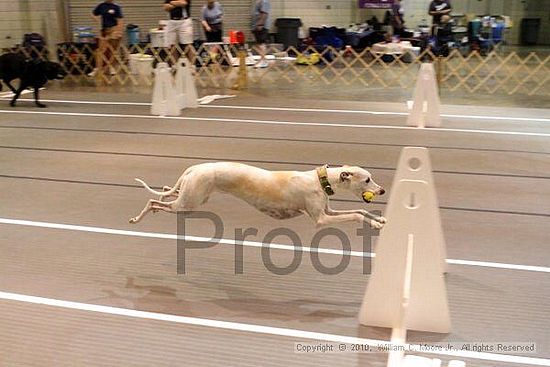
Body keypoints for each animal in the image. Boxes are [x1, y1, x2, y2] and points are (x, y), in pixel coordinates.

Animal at [129, 163, 388, 229]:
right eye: (367, 180)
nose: (383, 191)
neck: (319, 179)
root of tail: (195, 168)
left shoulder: (328, 211)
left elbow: (359, 209)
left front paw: (379, 219)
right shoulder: (321, 219)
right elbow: (356, 215)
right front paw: (375, 225)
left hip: (188, 197)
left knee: (164, 195)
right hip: (187, 205)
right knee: (153, 201)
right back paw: (137, 218)